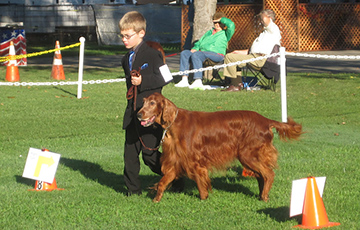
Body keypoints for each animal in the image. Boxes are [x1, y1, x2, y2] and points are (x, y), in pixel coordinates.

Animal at [136, 92, 302, 202]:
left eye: (152, 103)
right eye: (144, 102)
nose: (138, 114)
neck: (174, 123)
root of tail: (266, 121)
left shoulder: (194, 161)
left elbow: (200, 181)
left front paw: (204, 199)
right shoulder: (176, 161)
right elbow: (163, 182)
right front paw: (156, 200)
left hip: (247, 155)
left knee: (268, 174)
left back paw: (265, 197)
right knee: (262, 175)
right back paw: (261, 195)